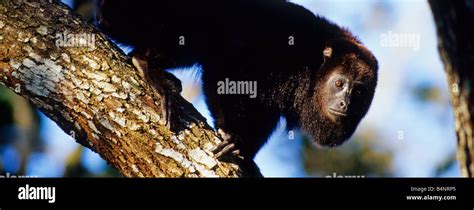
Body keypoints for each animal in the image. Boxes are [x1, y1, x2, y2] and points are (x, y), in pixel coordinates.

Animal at [95, 0, 378, 167]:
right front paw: (233, 136)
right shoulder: (277, 48)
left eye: (359, 91)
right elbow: (227, 66)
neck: (312, 66)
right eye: (339, 83)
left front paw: (246, 150)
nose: (345, 103)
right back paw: (146, 63)